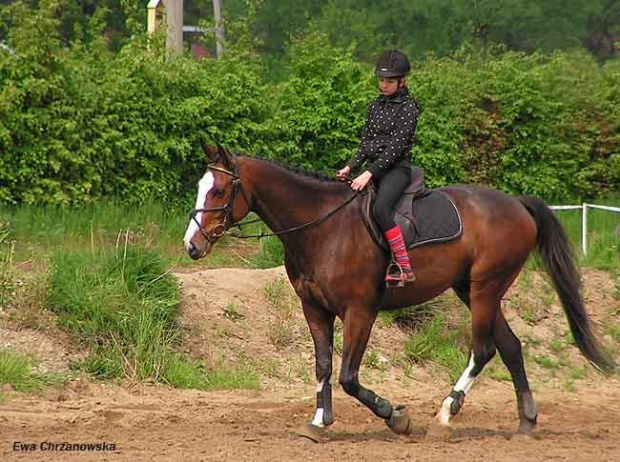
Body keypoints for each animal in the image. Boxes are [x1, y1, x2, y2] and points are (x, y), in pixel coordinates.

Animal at [182, 144, 612, 440]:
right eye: (201, 188)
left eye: (219, 191)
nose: (192, 245)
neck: (321, 227)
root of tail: (517, 205)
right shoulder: (314, 309)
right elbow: (323, 366)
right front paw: (318, 423)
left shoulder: (359, 311)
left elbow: (348, 376)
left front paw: (396, 417)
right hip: (471, 289)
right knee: (510, 346)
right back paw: (526, 421)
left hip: (485, 289)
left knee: (484, 348)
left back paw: (445, 414)